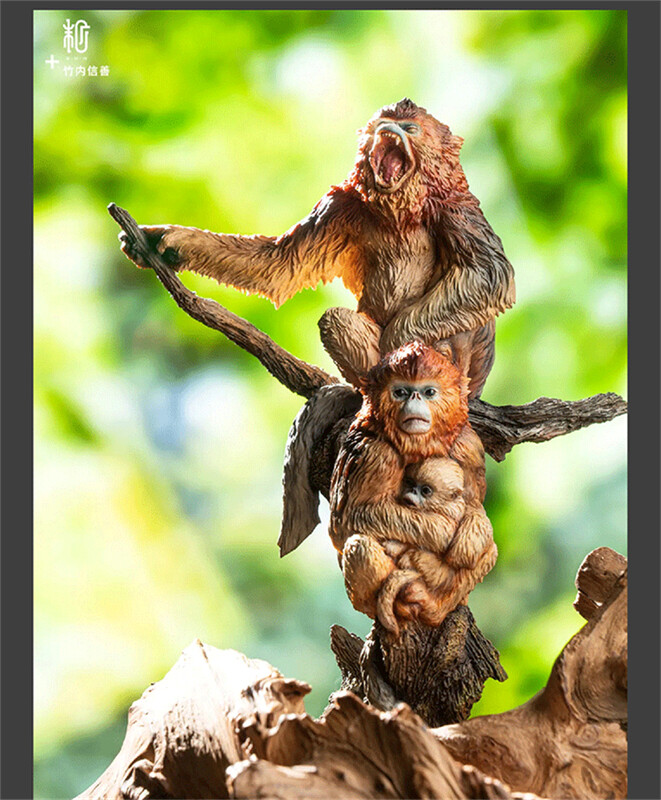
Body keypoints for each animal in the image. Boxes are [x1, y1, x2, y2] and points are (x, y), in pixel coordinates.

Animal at [119, 98, 515, 398]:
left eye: (410, 128)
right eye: (383, 125)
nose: (389, 131)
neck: (398, 210)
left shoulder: (455, 208)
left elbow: (491, 275)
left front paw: (400, 342)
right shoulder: (340, 205)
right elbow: (279, 265)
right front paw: (168, 239)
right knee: (336, 320)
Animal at [328, 341, 496, 634]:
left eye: (429, 391)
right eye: (400, 392)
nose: (414, 399)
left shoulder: (469, 444)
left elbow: (476, 507)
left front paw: (468, 536)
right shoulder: (378, 453)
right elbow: (344, 522)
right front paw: (442, 530)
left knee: (490, 548)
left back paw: (433, 606)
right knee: (360, 545)